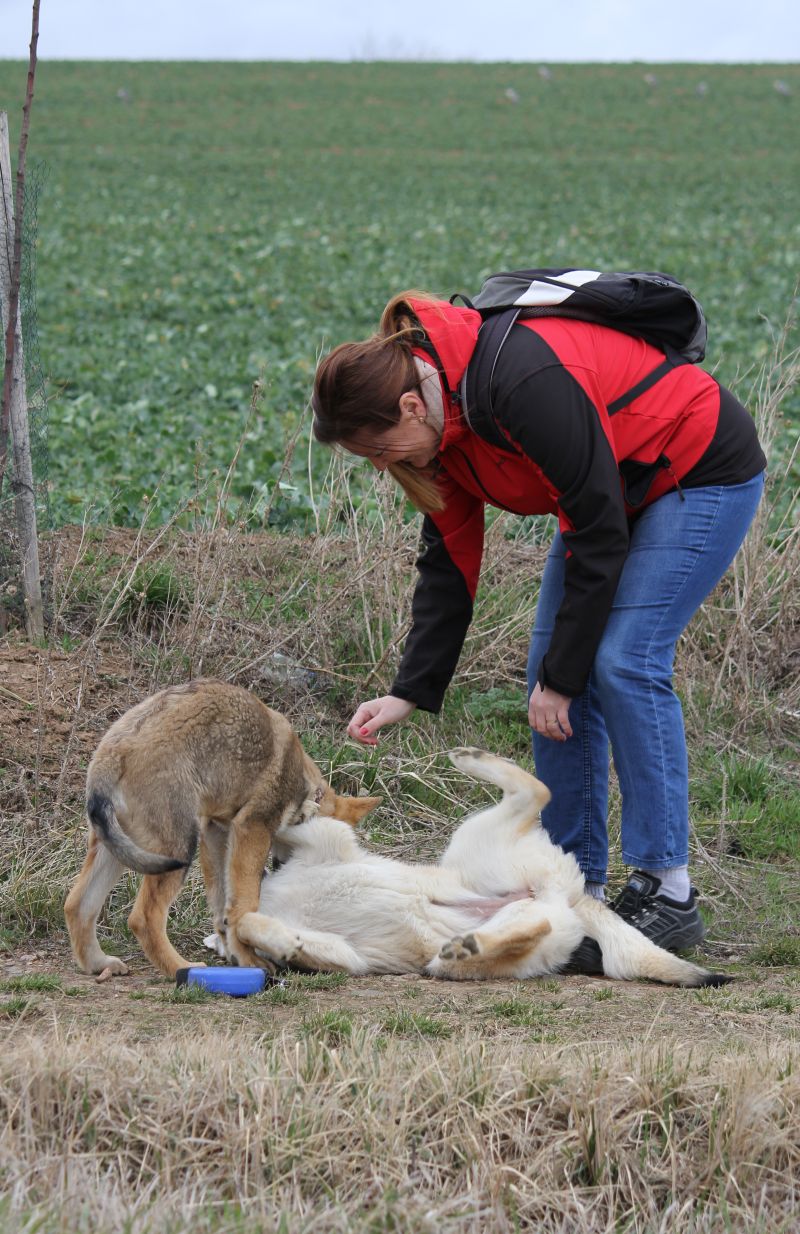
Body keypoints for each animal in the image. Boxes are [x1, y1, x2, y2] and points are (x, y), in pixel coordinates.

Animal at [64, 681, 380, 977]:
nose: (281, 866)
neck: (303, 787)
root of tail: (112, 752)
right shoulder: (251, 830)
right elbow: (243, 903)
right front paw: (250, 957)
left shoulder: (216, 832)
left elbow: (222, 908)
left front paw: (235, 953)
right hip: (177, 852)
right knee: (143, 919)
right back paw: (181, 968)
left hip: (118, 852)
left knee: (77, 905)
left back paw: (99, 964)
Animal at [227, 745, 730, 987]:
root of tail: (573, 898)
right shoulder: (343, 952)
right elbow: (249, 920)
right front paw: (283, 941)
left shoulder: (324, 839)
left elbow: (249, 909)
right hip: (504, 921)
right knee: (529, 926)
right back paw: (468, 945)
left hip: (473, 843)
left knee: (538, 791)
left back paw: (470, 759)